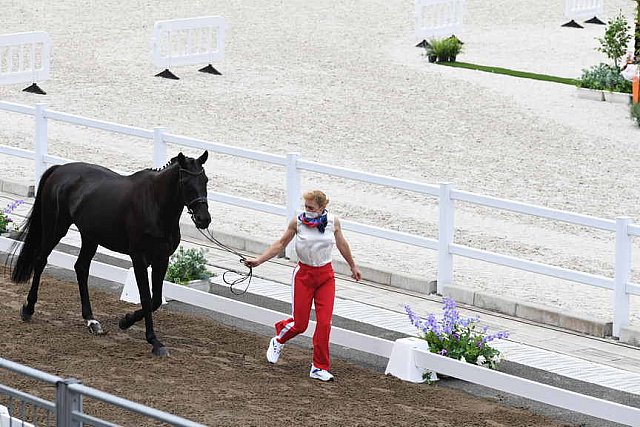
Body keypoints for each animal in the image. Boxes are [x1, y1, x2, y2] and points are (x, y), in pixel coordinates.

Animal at [10, 152, 211, 356]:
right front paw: (154, 341)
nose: (204, 219)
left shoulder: (161, 259)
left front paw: (126, 321)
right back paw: (28, 309)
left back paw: (92, 321)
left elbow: (155, 300)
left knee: (81, 268)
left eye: (205, 180)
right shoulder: (139, 258)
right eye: (185, 182)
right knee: (41, 260)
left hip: (90, 237)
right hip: (55, 228)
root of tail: (59, 169)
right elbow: (146, 298)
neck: (154, 205)